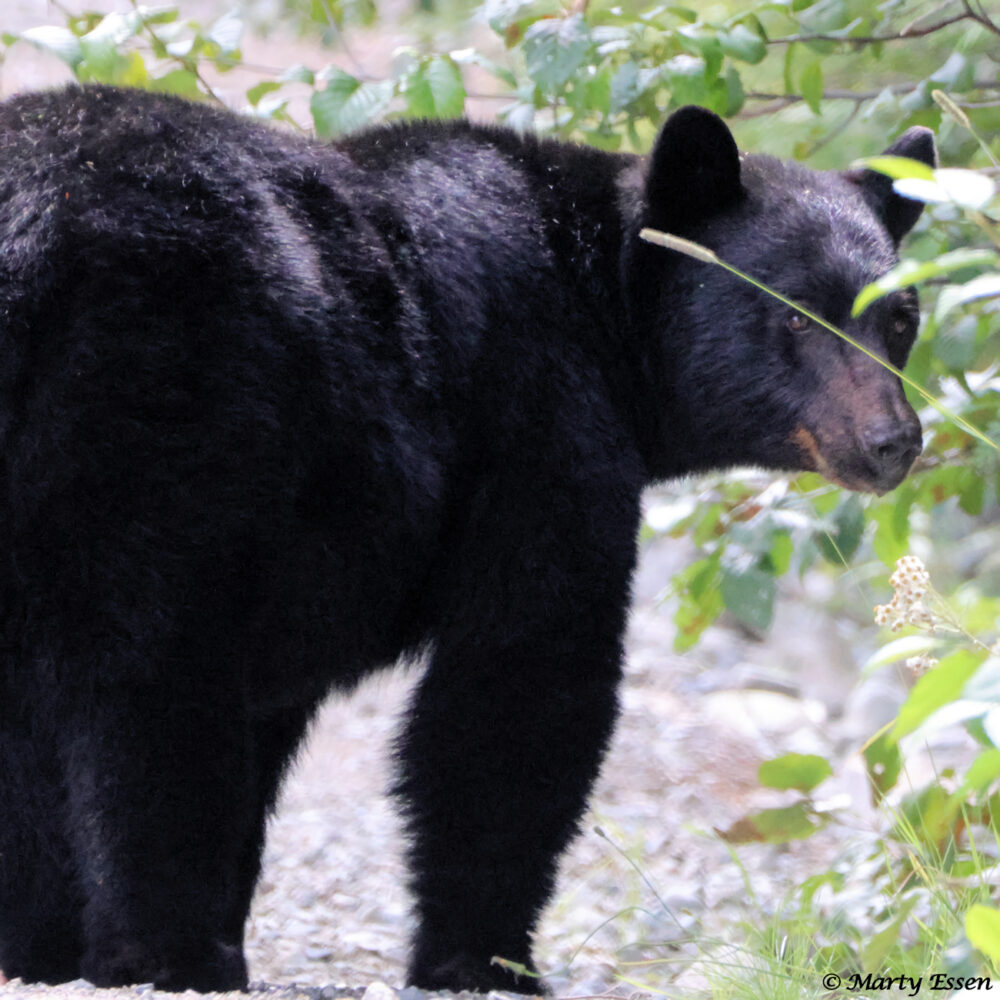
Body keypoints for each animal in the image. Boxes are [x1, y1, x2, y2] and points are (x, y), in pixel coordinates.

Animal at [0, 84, 934, 993]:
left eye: (901, 317)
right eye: (798, 318)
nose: (893, 440)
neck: (599, 304)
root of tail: (36, 226)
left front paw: (53, 940)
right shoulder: (539, 419)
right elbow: (519, 682)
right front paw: (485, 960)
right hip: (171, 401)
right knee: (153, 682)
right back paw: (172, 953)